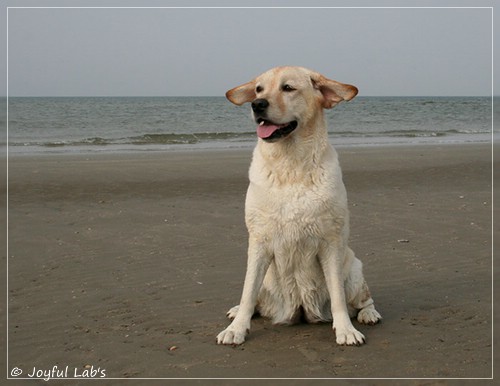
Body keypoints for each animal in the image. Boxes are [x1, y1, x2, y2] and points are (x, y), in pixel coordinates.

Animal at [217, 66, 380, 346]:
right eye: (259, 89)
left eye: (288, 88)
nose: (257, 104)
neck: (290, 165)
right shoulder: (259, 242)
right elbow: (248, 292)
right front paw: (236, 329)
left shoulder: (330, 243)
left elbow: (337, 296)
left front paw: (345, 330)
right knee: (255, 298)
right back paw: (238, 311)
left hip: (354, 270)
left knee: (362, 299)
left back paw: (368, 314)